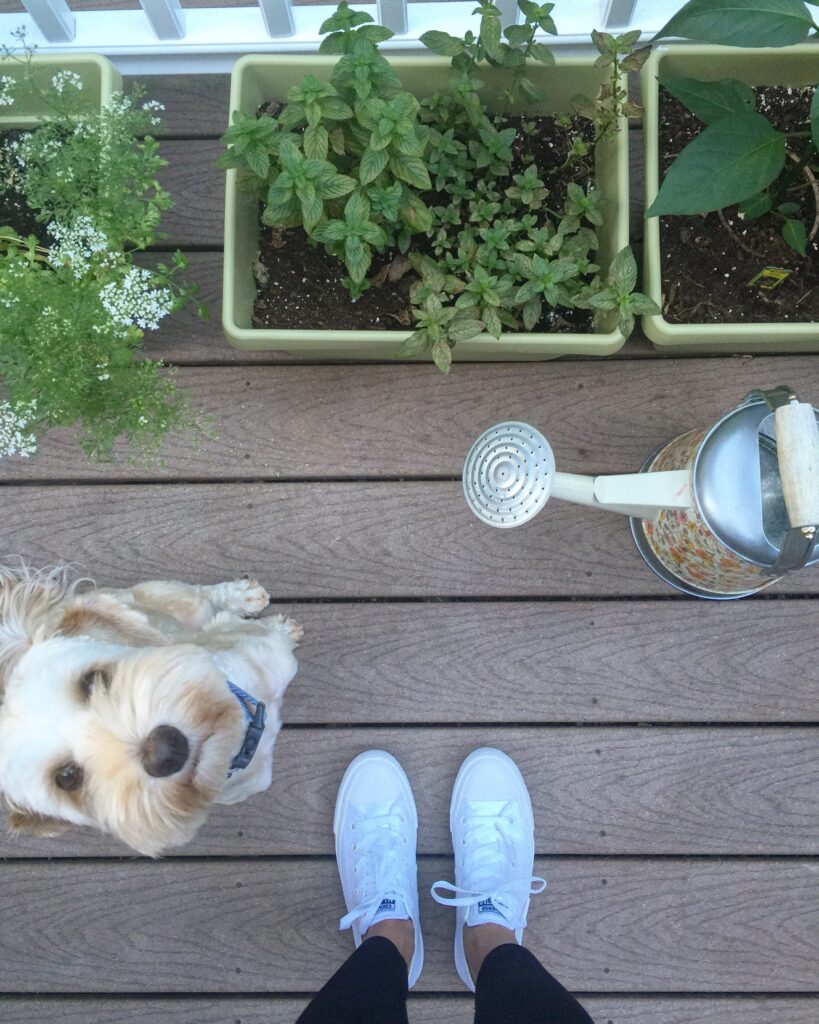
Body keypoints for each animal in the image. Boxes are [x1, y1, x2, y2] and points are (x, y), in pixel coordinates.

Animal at [0, 569, 300, 856]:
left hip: (173, 600)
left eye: (92, 680)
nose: (166, 751)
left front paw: (279, 627)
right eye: (67, 777)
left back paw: (243, 596)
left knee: (201, 596)